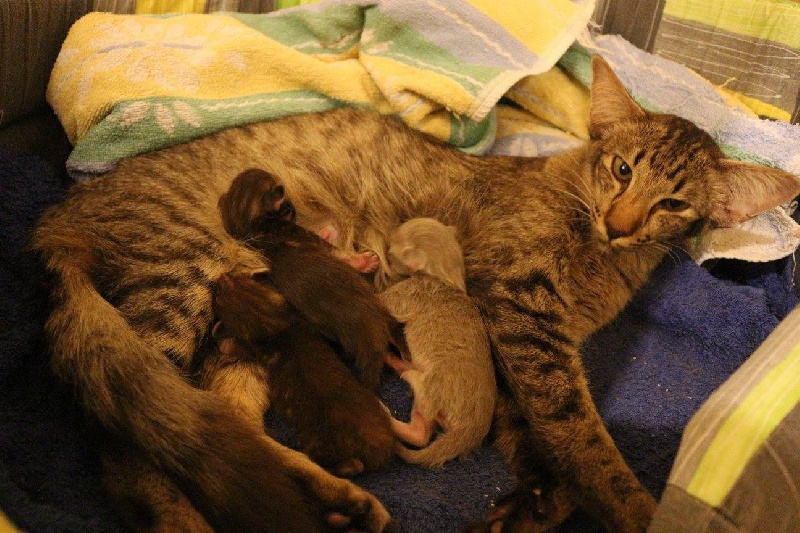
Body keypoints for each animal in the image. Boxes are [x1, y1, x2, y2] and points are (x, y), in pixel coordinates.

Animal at [380, 216, 494, 466]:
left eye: (391, 253)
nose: (384, 256)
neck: (446, 279)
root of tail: (471, 430)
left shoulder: (410, 292)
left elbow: (382, 299)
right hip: (431, 416)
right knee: (420, 434)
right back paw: (396, 364)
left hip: (437, 379)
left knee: (425, 399)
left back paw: (409, 374)